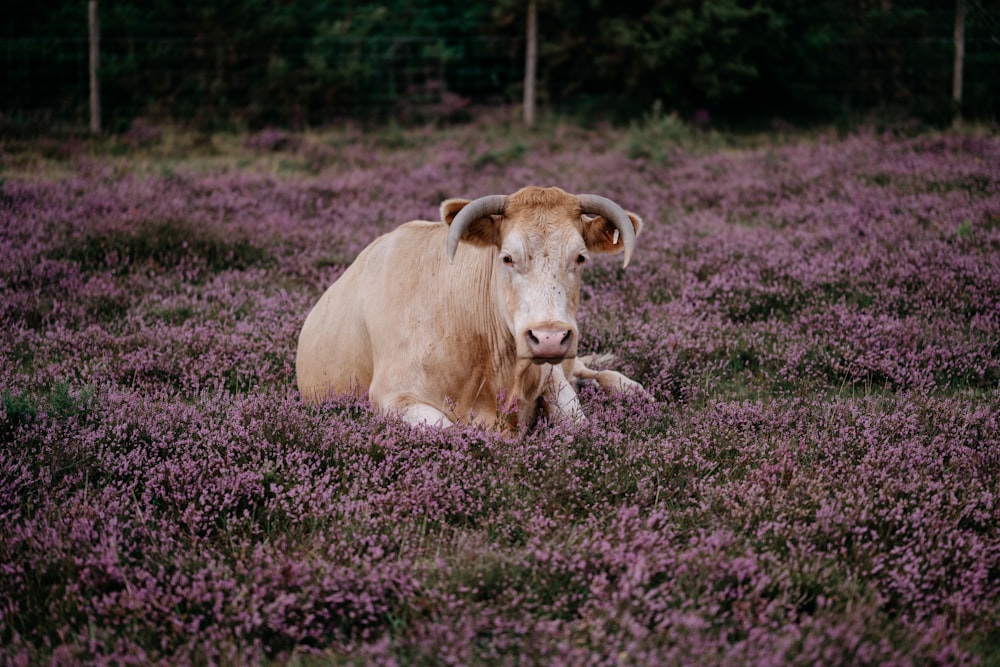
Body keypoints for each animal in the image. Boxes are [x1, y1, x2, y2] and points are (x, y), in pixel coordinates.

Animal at [292, 185, 644, 430]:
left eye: (580, 257)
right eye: (507, 257)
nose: (549, 338)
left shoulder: (548, 371)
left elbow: (576, 422)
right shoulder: (390, 396)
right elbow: (451, 432)